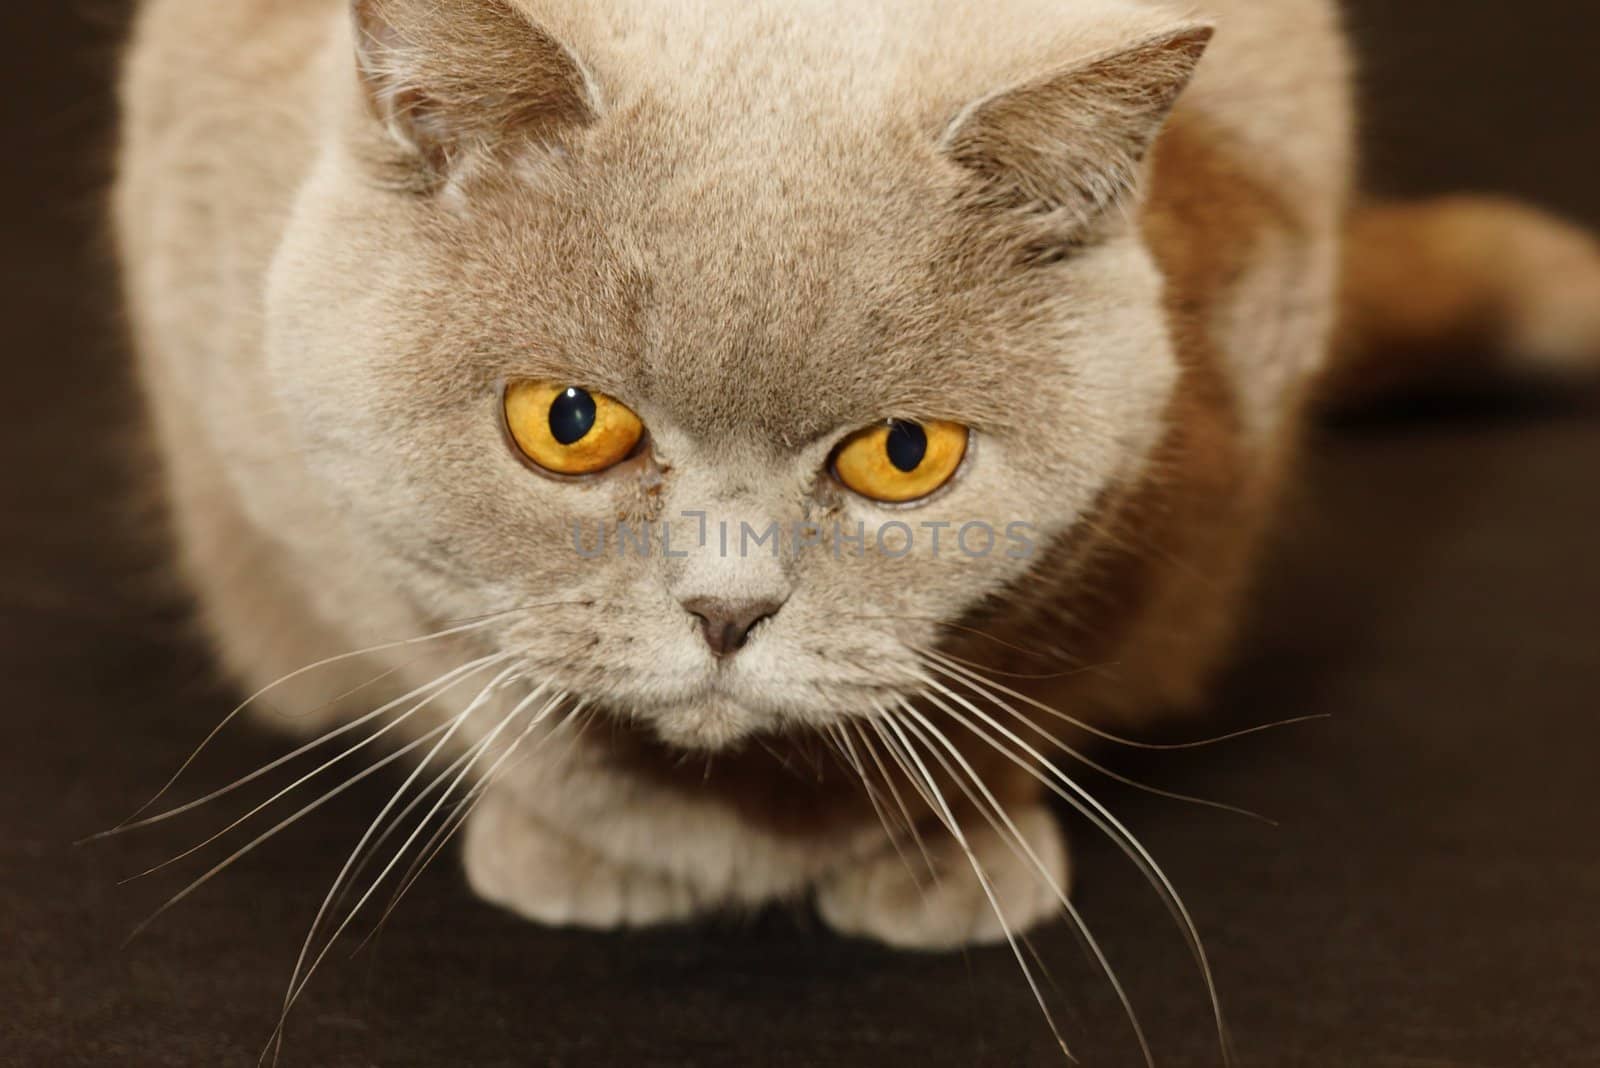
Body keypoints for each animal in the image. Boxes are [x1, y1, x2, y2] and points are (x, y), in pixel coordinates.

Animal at [116, 0, 1600, 1036]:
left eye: (902, 455)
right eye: (568, 421)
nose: (726, 612)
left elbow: (1040, 667)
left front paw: (946, 852)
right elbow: (467, 660)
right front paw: (619, 843)